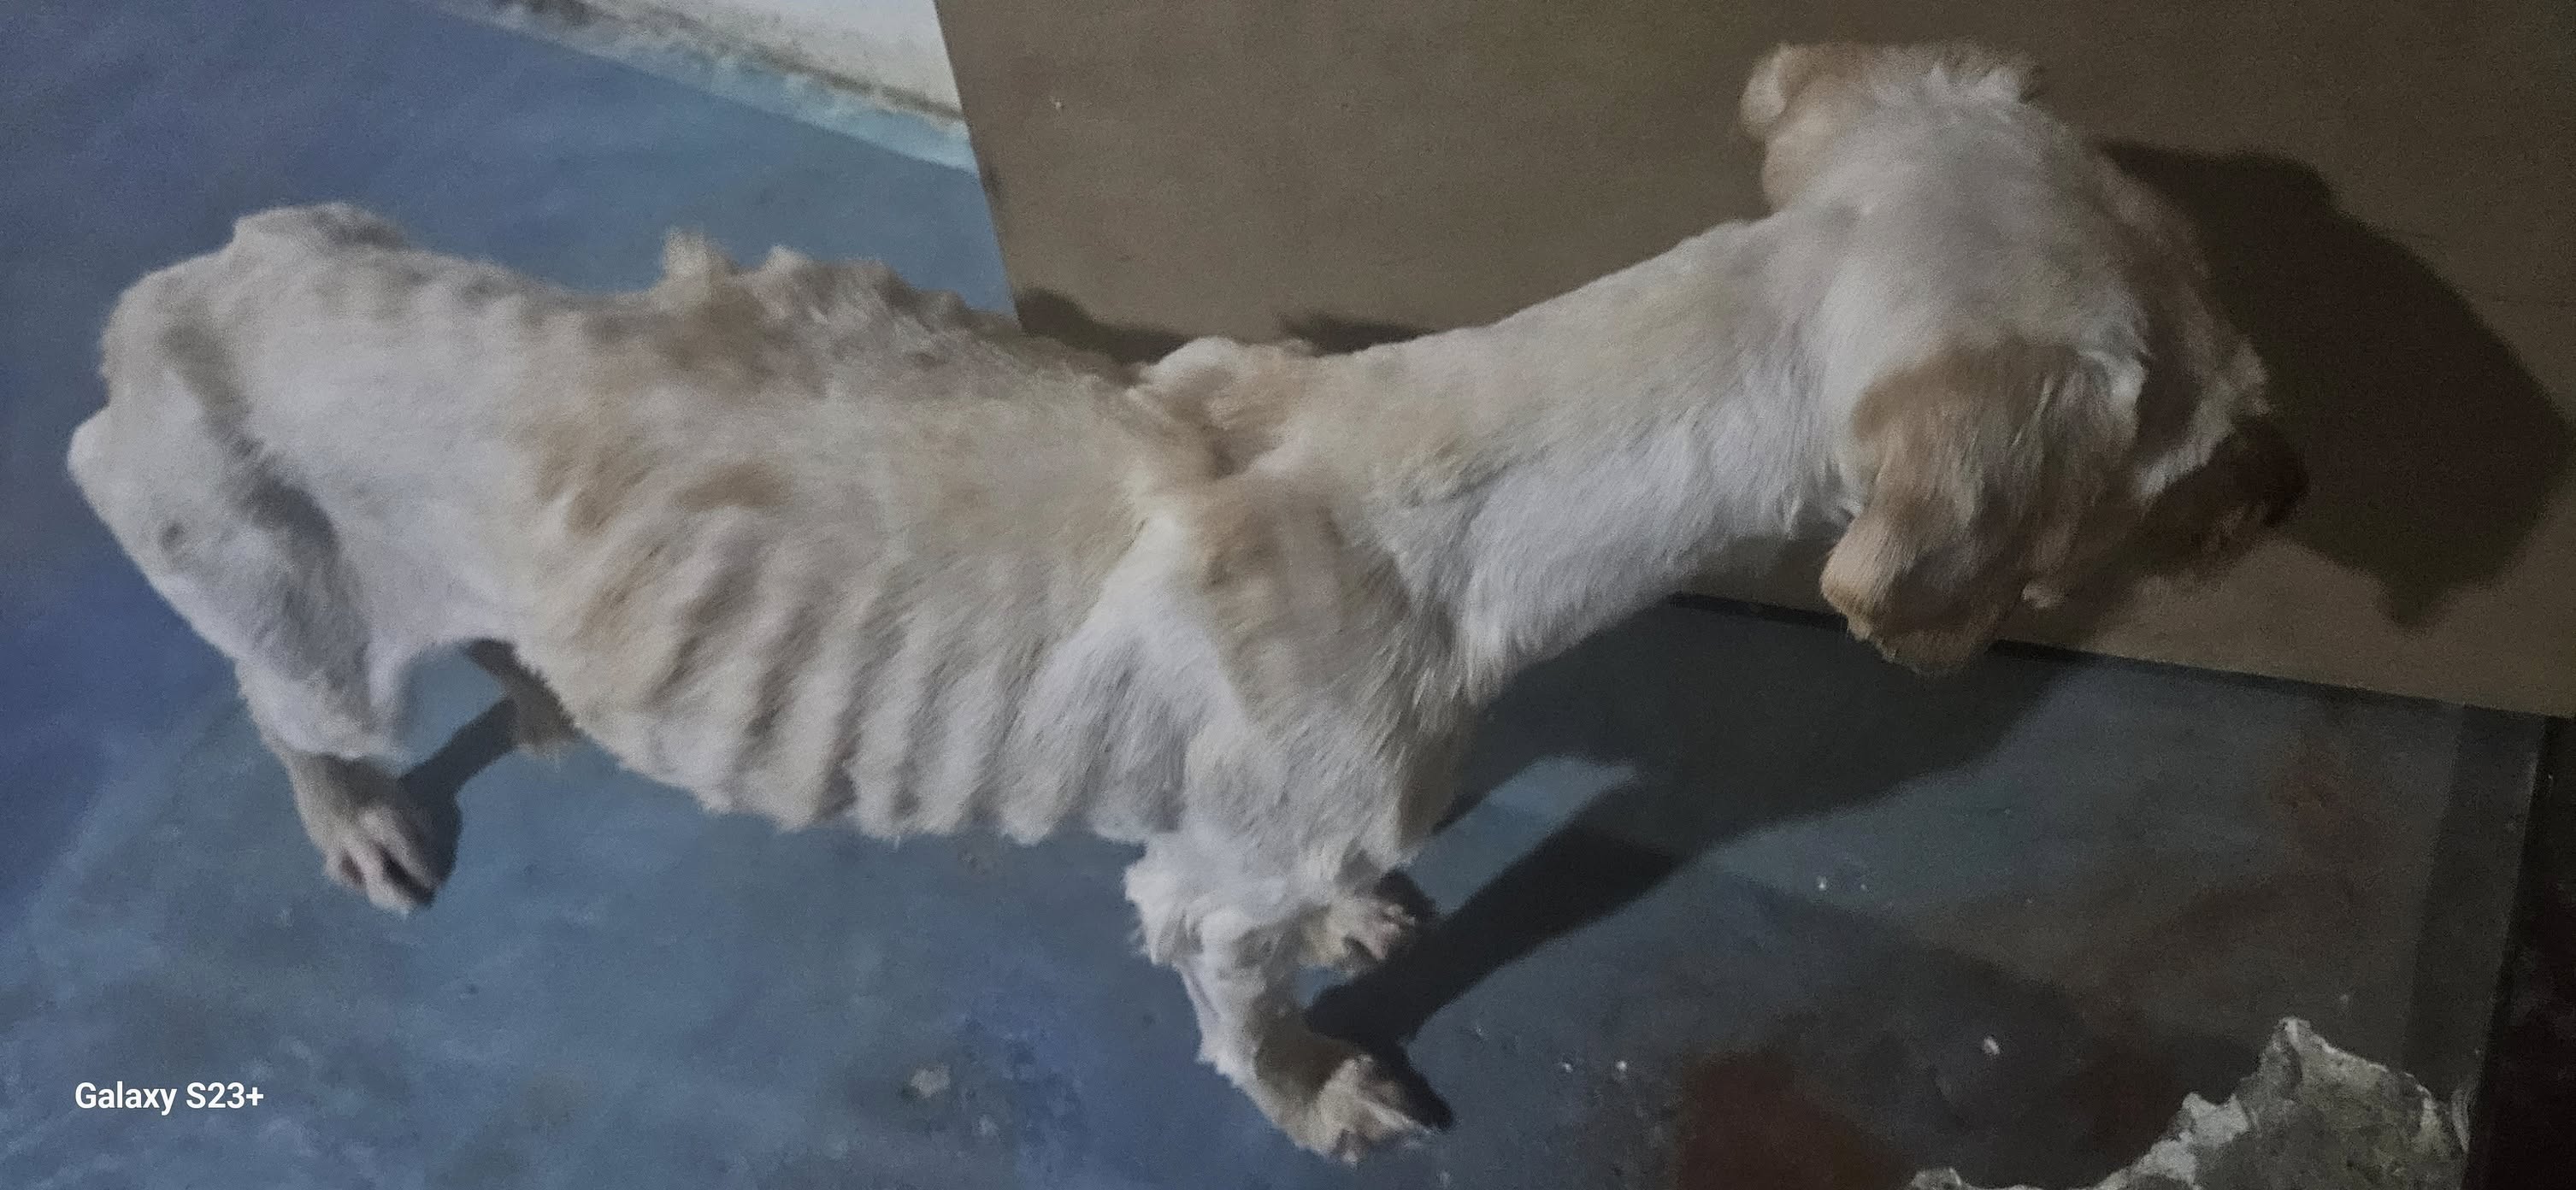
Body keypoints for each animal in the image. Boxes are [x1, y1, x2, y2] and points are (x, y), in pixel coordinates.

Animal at [67, 41, 2298, 1160]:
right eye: (2201, 438)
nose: (2304, 485)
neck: (1454, 480)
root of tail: (177, 289)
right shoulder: (1203, 888)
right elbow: (1244, 999)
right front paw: (1323, 1085)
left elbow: (1340, 894)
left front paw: (1373, 915)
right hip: (292, 611)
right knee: (292, 712)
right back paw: (363, 815)